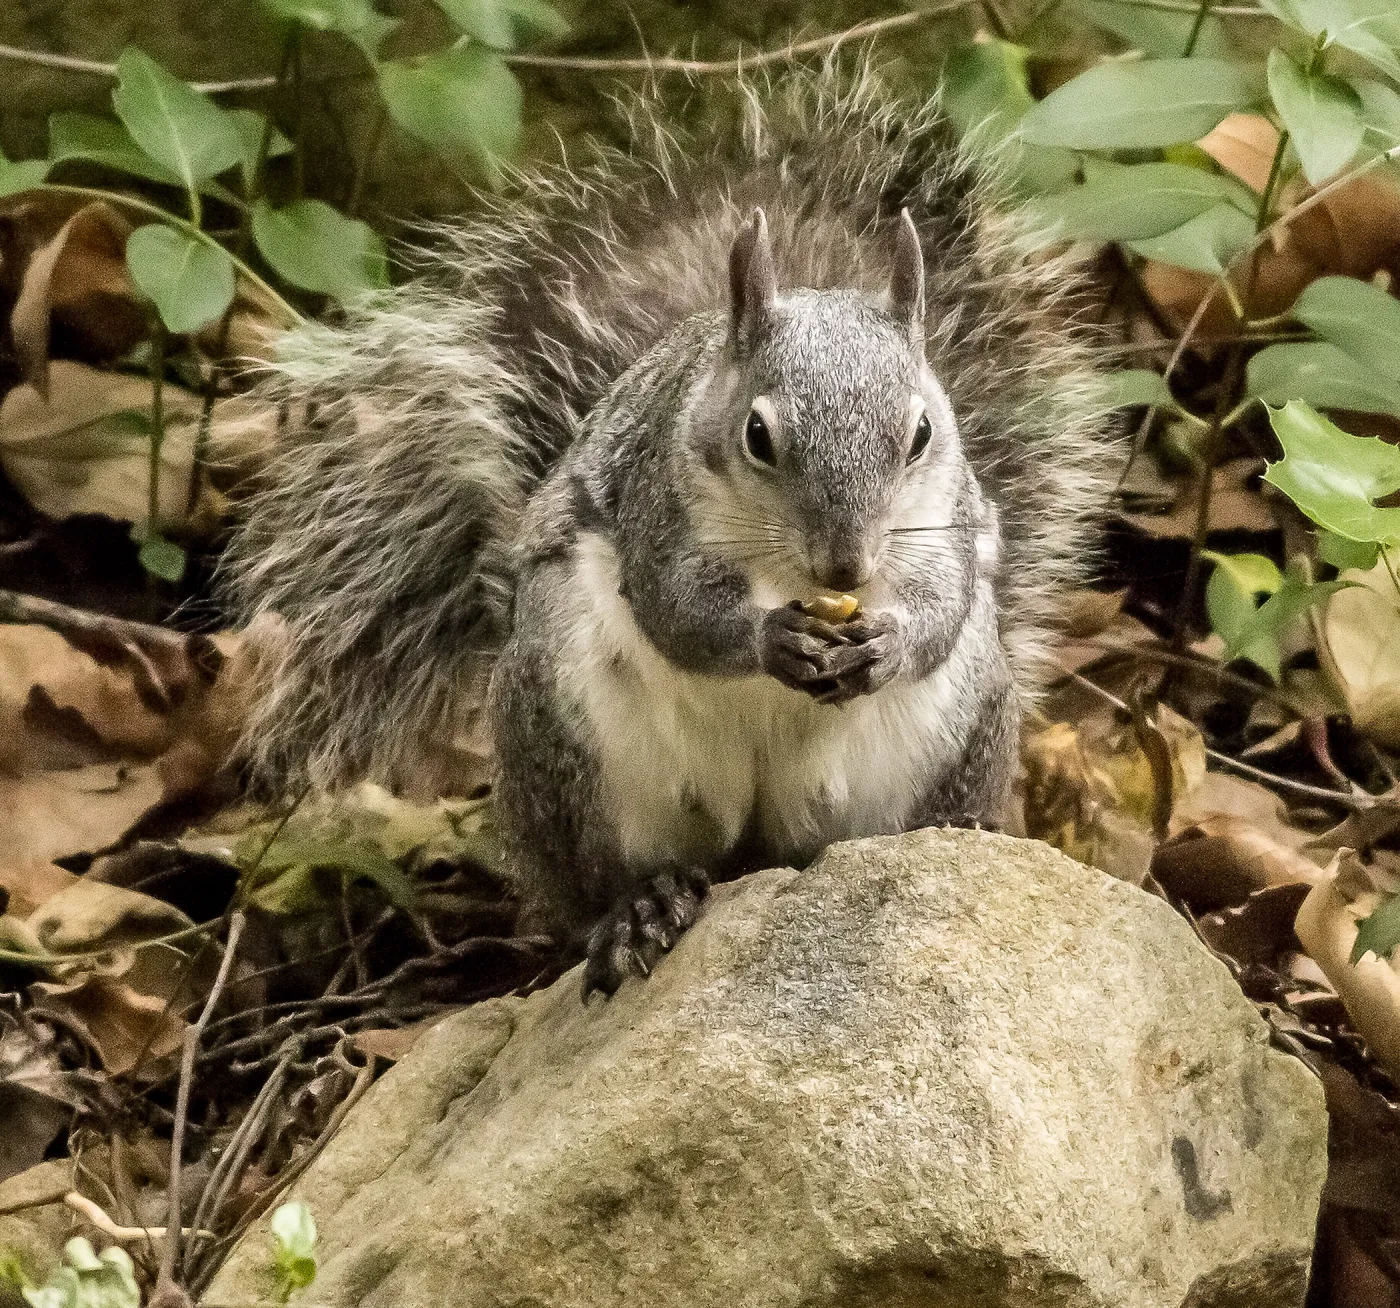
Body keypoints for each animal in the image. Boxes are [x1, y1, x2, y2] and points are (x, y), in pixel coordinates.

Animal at [225, 67, 1118, 996]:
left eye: (921, 433)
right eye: (758, 434)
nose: (846, 564)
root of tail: (759, 849)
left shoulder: (946, 521)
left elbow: (943, 606)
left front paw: (888, 642)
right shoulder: (656, 509)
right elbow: (676, 610)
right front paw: (770, 639)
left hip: (954, 730)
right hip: (569, 726)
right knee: (600, 877)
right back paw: (639, 907)